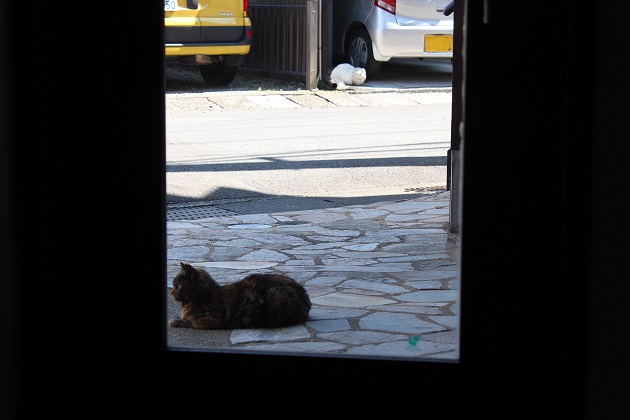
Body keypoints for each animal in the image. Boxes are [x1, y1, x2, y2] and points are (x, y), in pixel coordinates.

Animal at [169, 262, 312, 330]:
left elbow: (189, 321)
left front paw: (175, 321)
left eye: (177, 285)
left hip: (274, 295)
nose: (170, 293)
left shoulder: (210, 320)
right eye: (174, 285)